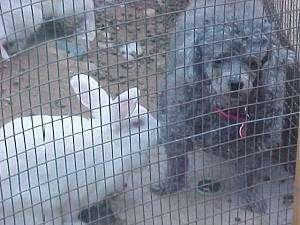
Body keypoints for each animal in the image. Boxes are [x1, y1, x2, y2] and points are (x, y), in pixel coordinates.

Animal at [0, 74, 159, 225]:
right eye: (137, 123)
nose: (159, 128)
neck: (110, 142)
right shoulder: (78, 196)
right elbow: (70, 215)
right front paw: (78, 222)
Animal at [151, 0, 296, 213]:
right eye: (218, 60)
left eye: (253, 63)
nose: (236, 83)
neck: (225, 110)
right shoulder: (176, 130)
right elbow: (176, 162)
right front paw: (171, 184)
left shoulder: (254, 144)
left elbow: (248, 175)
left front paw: (250, 197)